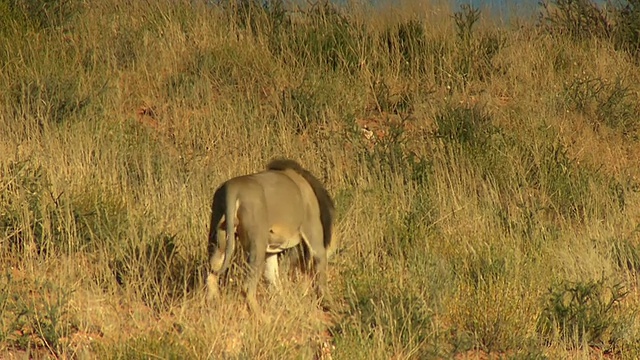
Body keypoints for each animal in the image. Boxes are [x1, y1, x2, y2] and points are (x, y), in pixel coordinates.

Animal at [206, 159, 338, 314]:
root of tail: (232, 188)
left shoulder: (271, 251)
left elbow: (273, 279)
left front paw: (284, 305)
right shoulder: (313, 233)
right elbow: (320, 268)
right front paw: (330, 304)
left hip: (219, 239)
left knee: (211, 272)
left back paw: (212, 306)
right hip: (257, 244)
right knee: (247, 287)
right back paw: (262, 317)